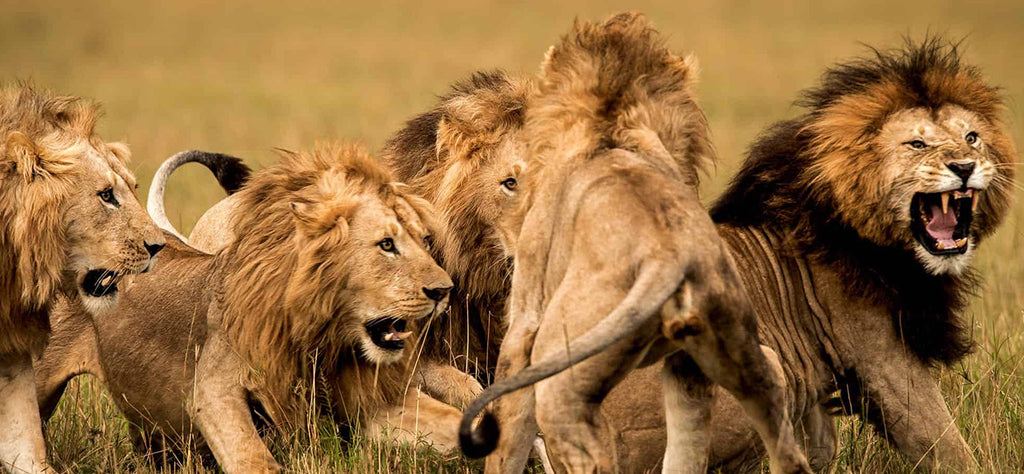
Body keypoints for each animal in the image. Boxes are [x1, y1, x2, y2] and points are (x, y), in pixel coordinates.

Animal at [34, 144, 465, 473]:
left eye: (425, 240)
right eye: (386, 244)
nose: (444, 290)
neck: (320, 336)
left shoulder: (367, 400)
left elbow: (453, 418)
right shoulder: (214, 392)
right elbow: (255, 459)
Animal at [457, 14, 810, 474]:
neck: (612, 125)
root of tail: (668, 256)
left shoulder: (523, 324)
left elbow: (506, 438)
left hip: (561, 373)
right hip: (742, 356)